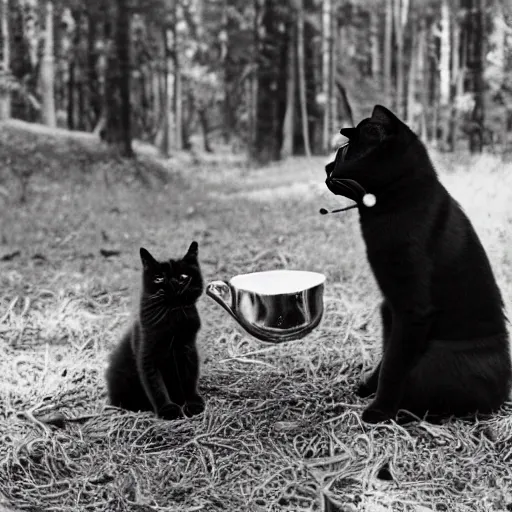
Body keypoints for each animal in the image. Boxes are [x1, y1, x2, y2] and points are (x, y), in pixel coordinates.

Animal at [105, 242, 205, 422]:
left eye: (183, 277)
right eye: (159, 278)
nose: (172, 283)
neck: (172, 319)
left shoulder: (188, 348)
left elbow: (190, 377)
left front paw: (193, 404)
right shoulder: (147, 353)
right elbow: (155, 384)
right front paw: (168, 410)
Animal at [326, 104, 510, 424]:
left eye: (345, 150)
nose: (326, 167)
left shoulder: (412, 309)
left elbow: (394, 366)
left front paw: (378, 410)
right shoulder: (390, 305)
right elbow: (387, 353)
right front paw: (369, 388)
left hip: (435, 355)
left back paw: (405, 414)